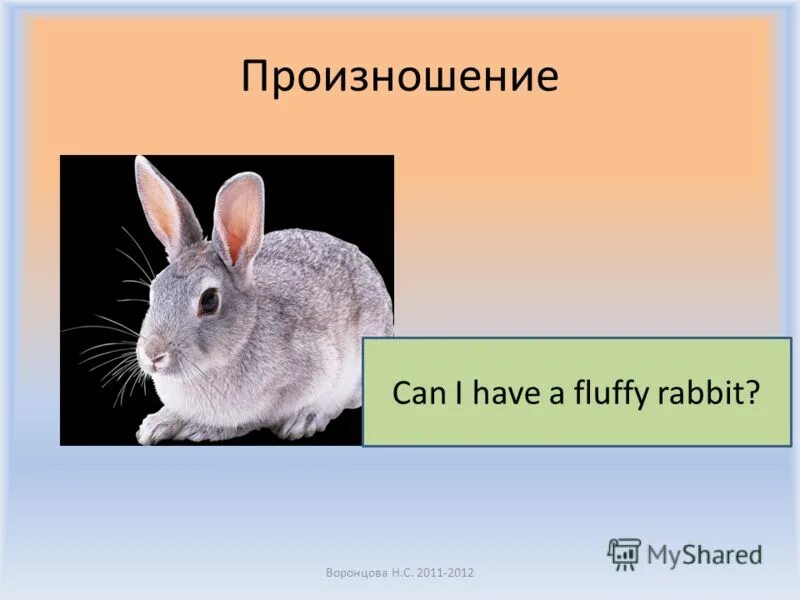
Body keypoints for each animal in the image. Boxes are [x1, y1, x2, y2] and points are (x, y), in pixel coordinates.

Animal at [132, 156, 393, 445]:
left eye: (209, 301)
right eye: (154, 290)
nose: (153, 354)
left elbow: (259, 418)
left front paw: (201, 428)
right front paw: (154, 425)